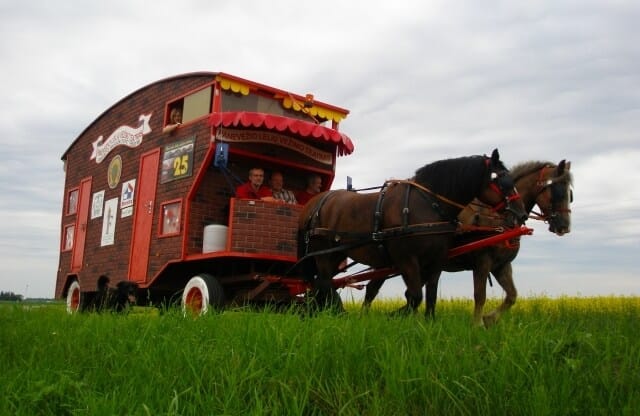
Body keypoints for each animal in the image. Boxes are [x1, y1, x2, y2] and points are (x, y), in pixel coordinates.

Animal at [298, 150, 528, 316]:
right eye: (501, 180)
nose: (522, 214)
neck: (428, 205)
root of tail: (316, 202)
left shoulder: (436, 261)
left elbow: (430, 298)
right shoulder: (406, 259)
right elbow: (414, 296)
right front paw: (394, 316)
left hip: (336, 253)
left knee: (321, 284)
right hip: (323, 253)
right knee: (325, 283)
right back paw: (334, 312)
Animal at [362, 159, 572, 324]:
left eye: (570, 194)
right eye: (557, 191)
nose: (564, 226)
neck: (497, 218)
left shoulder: (501, 265)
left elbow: (512, 296)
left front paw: (490, 319)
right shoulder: (482, 261)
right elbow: (480, 295)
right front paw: (478, 324)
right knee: (374, 289)